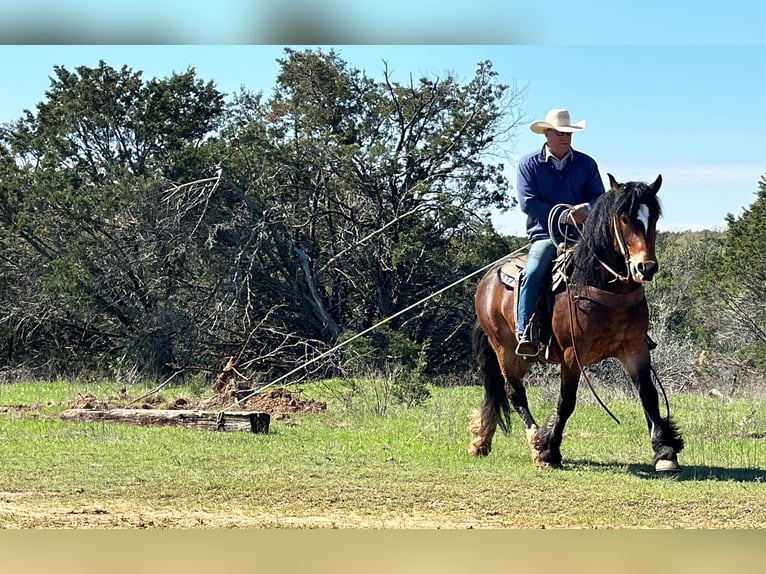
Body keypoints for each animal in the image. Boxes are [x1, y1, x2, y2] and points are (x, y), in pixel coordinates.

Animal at [472, 174, 688, 472]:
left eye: (653, 216)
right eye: (623, 218)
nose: (646, 267)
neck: (600, 286)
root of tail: (488, 278)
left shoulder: (635, 349)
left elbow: (648, 394)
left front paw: (664, 451)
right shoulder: (570, 356)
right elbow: (567, 401)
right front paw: (549, 449)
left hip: (522, 357)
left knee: (496, 391)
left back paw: (482, 440)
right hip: (504, 350)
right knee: (513, 392)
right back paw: (534, 443)